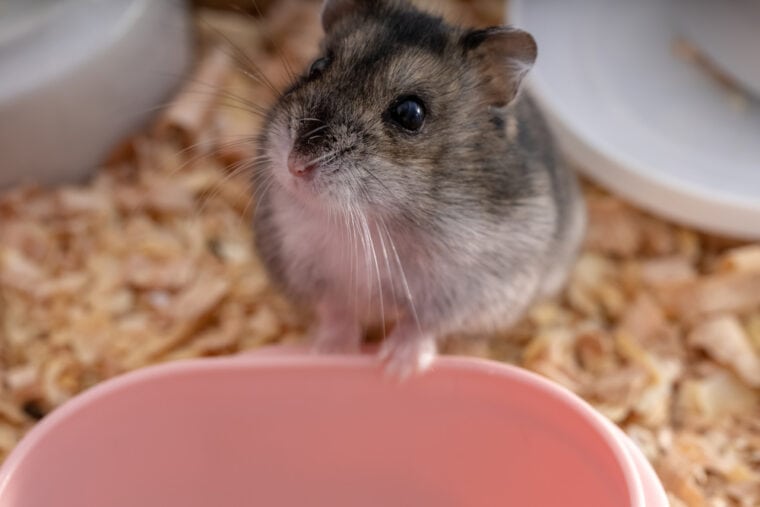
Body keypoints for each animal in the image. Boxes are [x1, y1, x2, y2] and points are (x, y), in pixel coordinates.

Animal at [253, 0, 586, 377]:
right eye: (316, 67)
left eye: (410, 113)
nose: (296, 165)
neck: (373, 219)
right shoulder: (304, 267)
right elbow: (336, 308)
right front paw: (329, 352)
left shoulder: (469, 291)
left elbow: (422, 324)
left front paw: (398, 369)